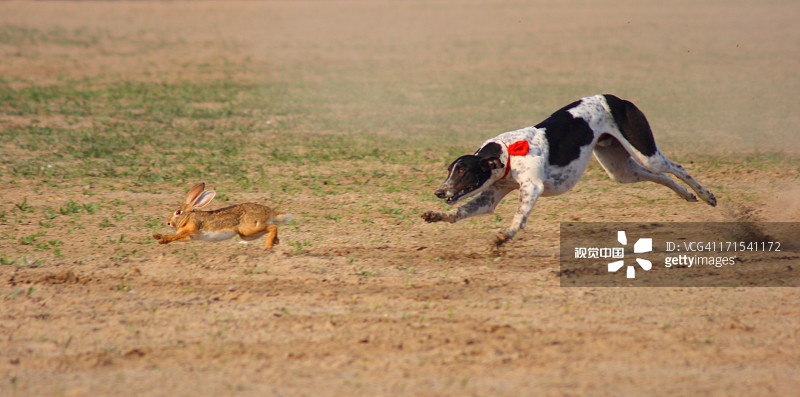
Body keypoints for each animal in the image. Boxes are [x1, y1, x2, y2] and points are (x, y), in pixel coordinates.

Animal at [152, 182, 292, 248]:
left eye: (178, 212)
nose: (168, 222)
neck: (188, 218)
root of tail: (270, 211)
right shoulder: (188, 236)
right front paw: (158, 237)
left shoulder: (191, 229)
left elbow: (173, 236)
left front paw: (160, 238)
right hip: (248, 235)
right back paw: (275, 242)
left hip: (249, 229)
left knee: (273, 227)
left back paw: (269, 244)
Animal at [422, 94, 716, 246]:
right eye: (449, 171)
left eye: (463, 172)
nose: (439, 192)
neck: (506, 153)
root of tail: (616, 98)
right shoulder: (490, 196)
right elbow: (460, 211)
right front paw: (436, 215)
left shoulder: (532, 187)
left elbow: (519, 215)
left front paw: (506, 235)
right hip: (620, 170)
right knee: (661, 176)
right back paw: (687, 195)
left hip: (645, 152)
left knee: (676, 167)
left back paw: (706, 195)